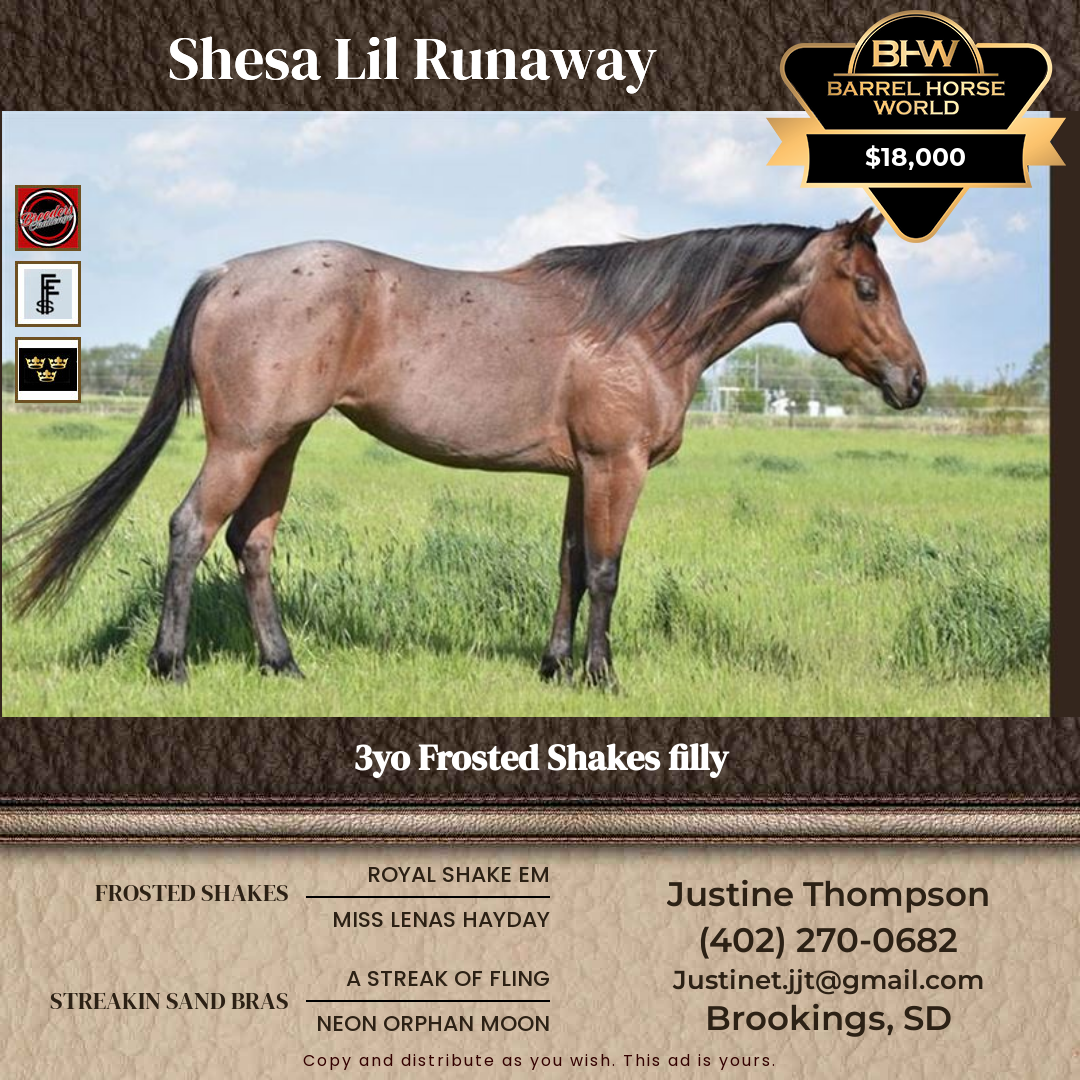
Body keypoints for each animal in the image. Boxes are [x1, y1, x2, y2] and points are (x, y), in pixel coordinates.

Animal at [5, 208, 925, 686]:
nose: (913, 383)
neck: (639, 327)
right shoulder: (616, 467)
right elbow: (606, 571)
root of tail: (228, 271)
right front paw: (602, 677)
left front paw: (554, 668)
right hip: (244, 442)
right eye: (866, 287)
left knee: (251, 543)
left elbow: (567, 565)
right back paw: (171, 665)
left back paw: (284, 665)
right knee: (191, 530)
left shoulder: (580, 472)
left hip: (283, 442)